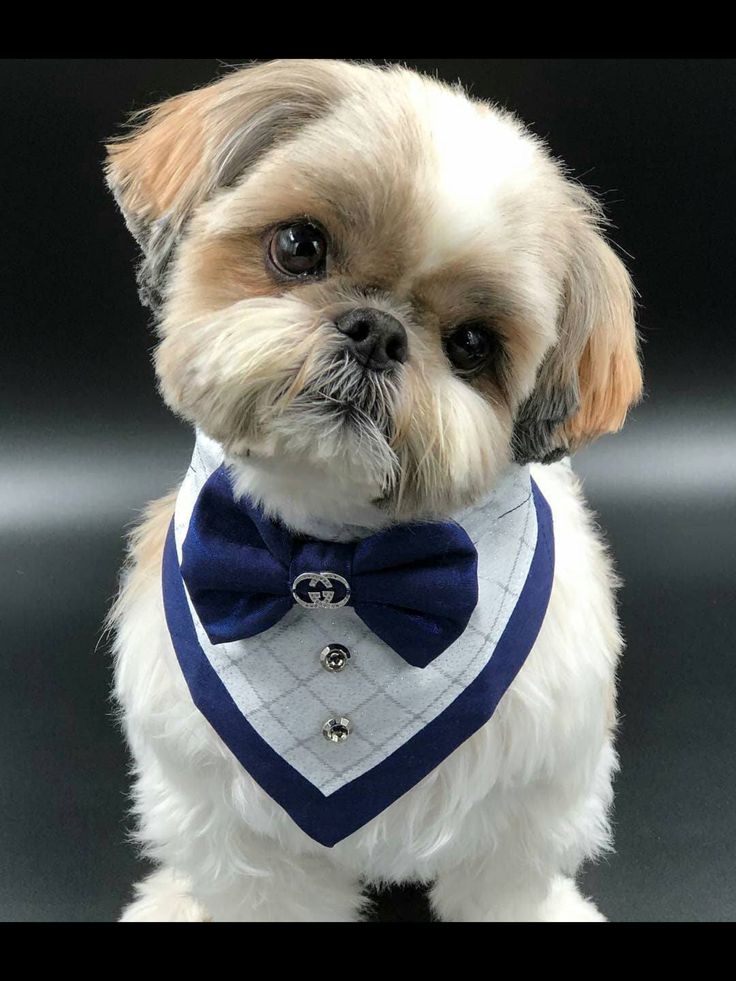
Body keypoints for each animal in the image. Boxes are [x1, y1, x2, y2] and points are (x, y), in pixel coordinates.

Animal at [106, 59, 640, 920]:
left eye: (472, 344)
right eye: (299, 245)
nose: (376, 331)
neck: (342, 561)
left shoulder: (526, 799)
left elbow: (509, 882)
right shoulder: (237, 822)